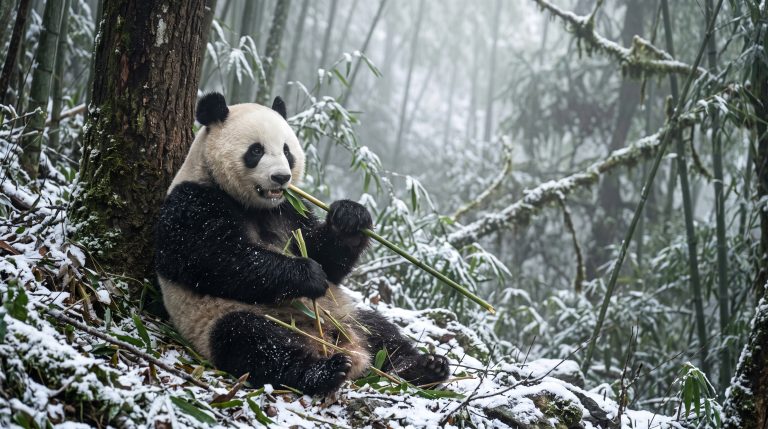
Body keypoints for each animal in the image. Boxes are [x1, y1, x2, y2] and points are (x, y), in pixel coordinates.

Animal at [154, 92, 450, 395]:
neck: (255, 206)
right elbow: (214, 258)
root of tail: (334, 342)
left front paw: (349, 217)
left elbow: (326, 257)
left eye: (287, 151)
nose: (281, 177)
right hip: (226, 318)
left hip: (346, 314)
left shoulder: (289, 210)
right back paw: (325, 371)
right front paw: (308, 275)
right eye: (256, 151)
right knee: (253, 342)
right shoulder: (193, 201)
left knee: (382, 332)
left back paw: (423, 367)